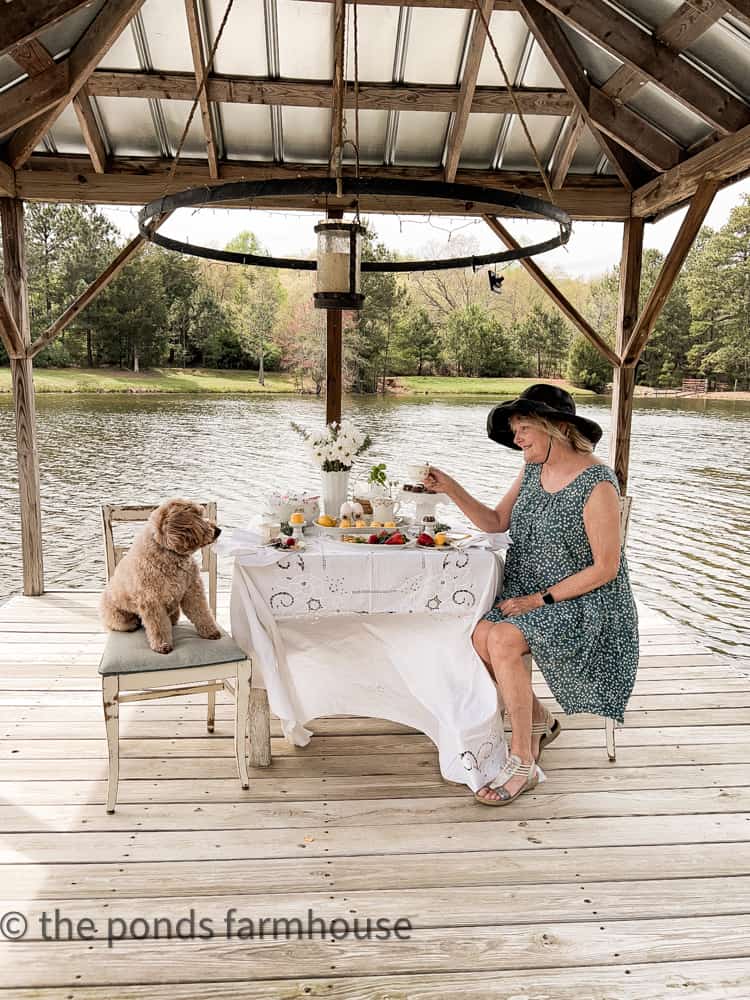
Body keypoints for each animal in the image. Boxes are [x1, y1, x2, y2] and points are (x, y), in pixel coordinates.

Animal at [104, 500, 225, 656]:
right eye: (198, 516)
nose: (218, 530)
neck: (171, 553)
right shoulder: (152, 601)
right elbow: (159, 627)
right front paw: (163, 645)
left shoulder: (192, 591)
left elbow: (202, 613)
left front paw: (211, 632)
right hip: (119, 617)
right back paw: (133, 624)